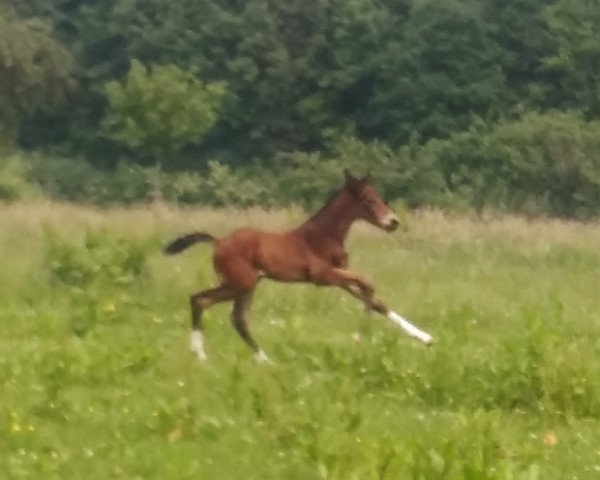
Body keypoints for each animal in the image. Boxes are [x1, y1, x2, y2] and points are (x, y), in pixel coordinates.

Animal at [166, 171, 434, 362]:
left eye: (379, 197)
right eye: (367, 199)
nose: (393, 222)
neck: (323, 236)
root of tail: (218, 242)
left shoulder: (340, 278)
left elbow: (376, 299)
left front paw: (425, 337)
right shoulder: (323, 276)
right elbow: (368, 281)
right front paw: (359, 335)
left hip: (247, 285)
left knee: (237, 318)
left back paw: (265, 361)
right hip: (240, 283)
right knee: (201, 300)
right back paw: (200, 355)